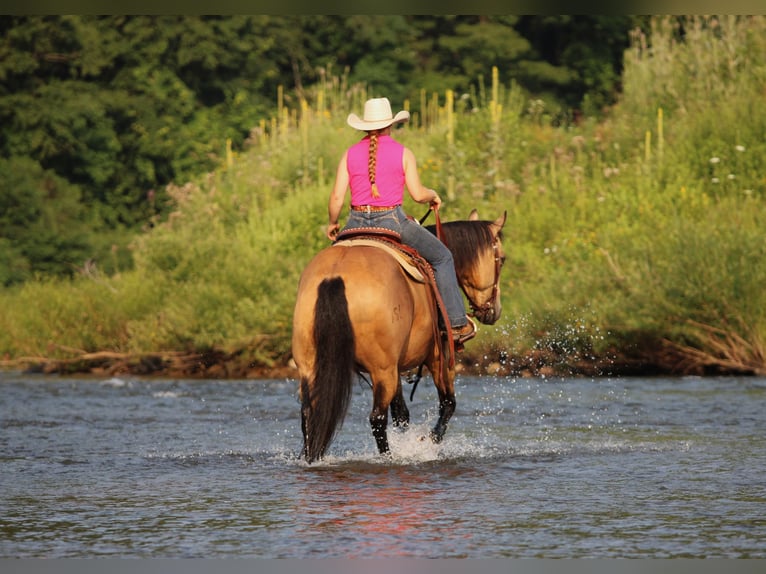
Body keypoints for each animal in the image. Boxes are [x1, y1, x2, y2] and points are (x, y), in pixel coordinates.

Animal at [291, 209, 507, 463]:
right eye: (502, 259)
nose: (494, 310)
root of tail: (335, 276)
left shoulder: (396, 367)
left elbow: (401, 414)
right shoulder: (438, 356)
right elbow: (448, 404)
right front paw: (426, 442)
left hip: (312, 367)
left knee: (309, 414)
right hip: (382, 370)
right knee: (377, 418)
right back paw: (389, 457)